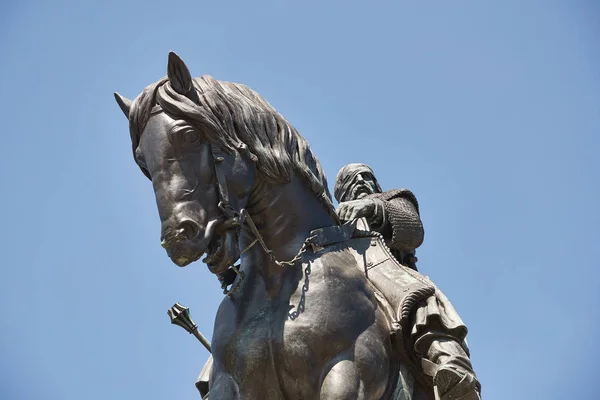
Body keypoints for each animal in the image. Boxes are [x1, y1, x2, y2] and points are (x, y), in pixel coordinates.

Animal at [116, 53, 446, 400]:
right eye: (142, 161)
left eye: (189, 135)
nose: (178, 237)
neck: (281, 272)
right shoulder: (230, 384)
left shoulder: (348, 371)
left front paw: (361, 207)